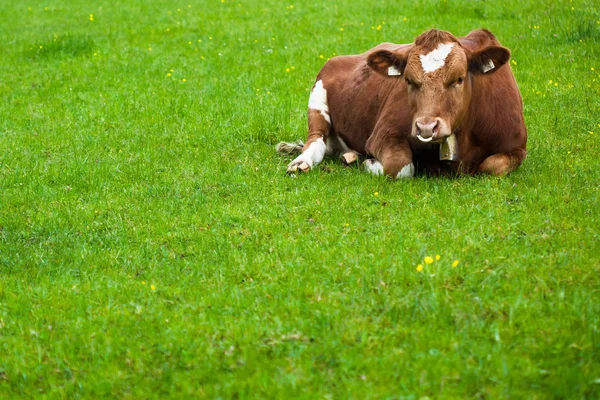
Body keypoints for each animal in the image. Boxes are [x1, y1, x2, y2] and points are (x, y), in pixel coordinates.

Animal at [278, 28, 528, 178]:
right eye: (408, 80)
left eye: (459, 79)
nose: (426, 127)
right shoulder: (383, 133)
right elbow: (401, 165)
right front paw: (368, 163)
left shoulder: (517, 146)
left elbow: (492, 166)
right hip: (318, 98)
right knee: (316, 141)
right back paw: (302, 162)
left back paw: (350, 156)